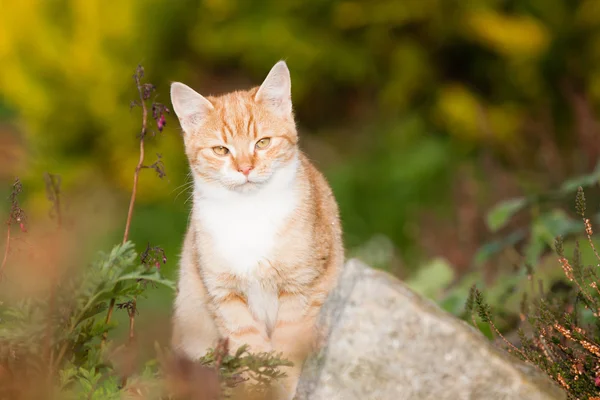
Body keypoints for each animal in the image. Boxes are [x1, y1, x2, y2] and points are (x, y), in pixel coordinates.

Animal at [171, 61, 344, 398]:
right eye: (221, 150)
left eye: (262, 143)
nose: (245, 168)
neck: (249, 213)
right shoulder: (226, 299)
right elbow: (253, 354)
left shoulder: (300, 291)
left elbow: (286, 356)